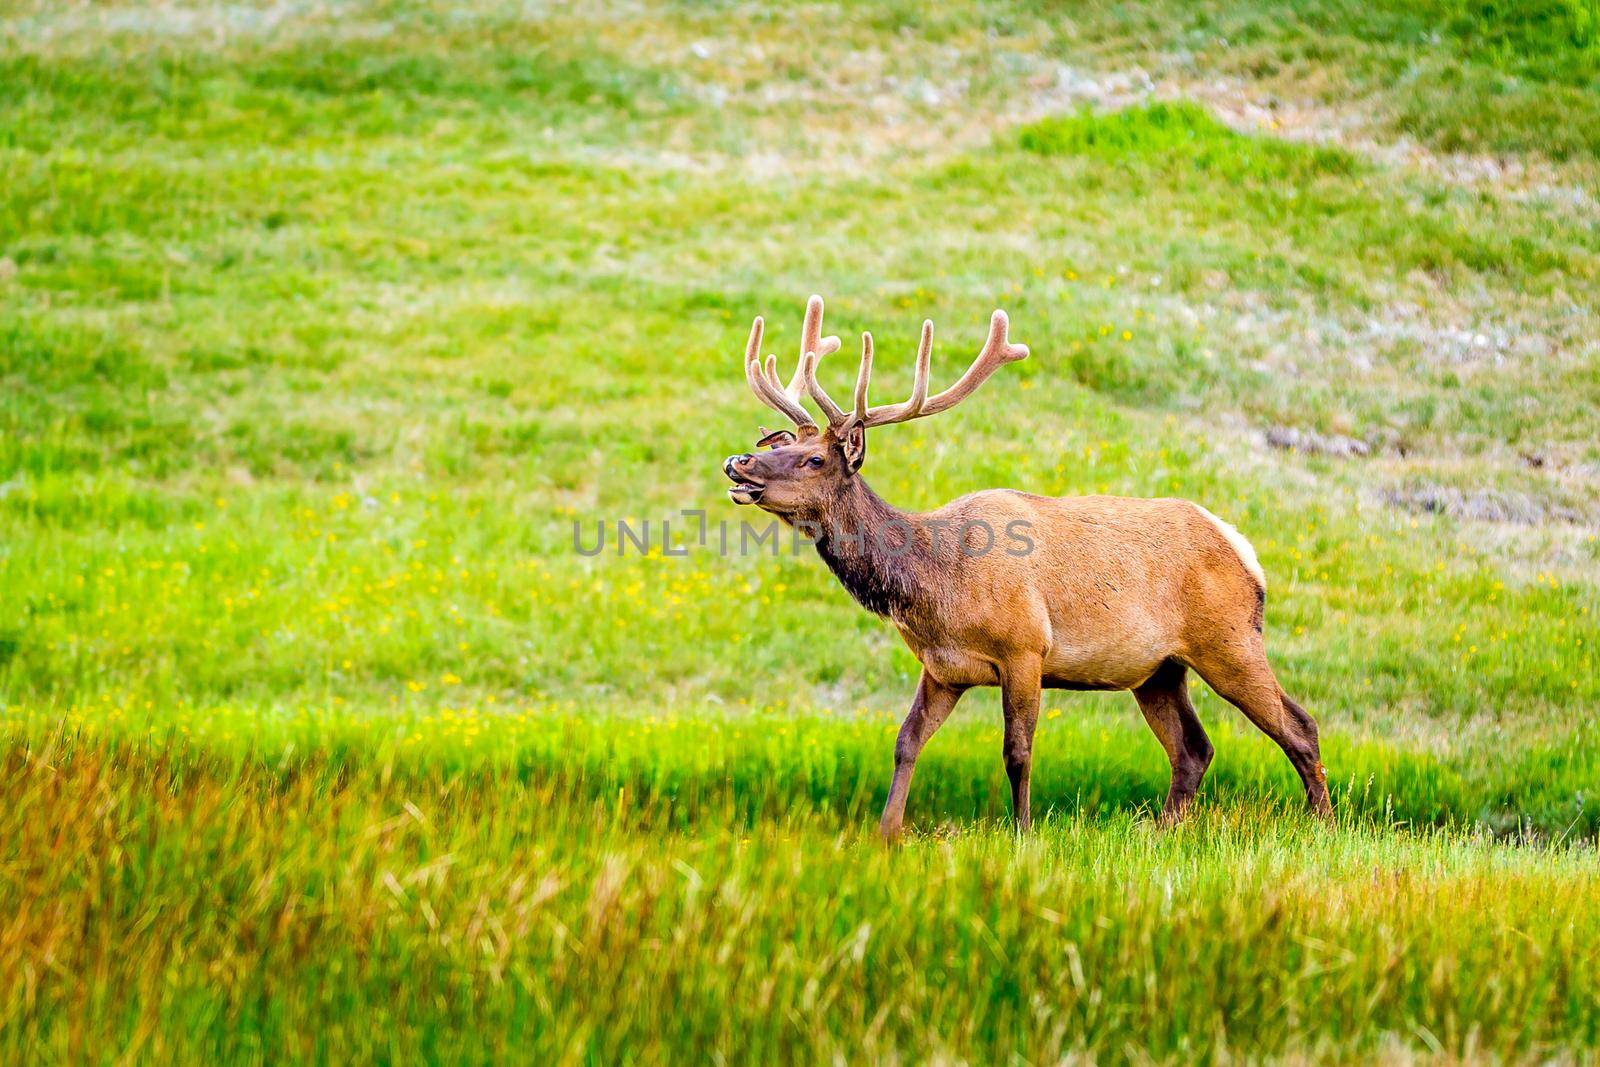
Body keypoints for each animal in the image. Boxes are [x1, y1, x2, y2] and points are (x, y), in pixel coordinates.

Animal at [726, 295, 1324, 838]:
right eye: (781, 446)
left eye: (814, 459)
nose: (739, 462)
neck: (936, 586)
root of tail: (1243, 551)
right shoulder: (942, 669)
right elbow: (905, 742)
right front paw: (886, 834)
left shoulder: (1025, 647)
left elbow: (1017, 751)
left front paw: (1022, 833)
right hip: (1158, 668)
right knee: (1194, 748)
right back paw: (1163, 831)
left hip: (1228, 639)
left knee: (1299, 725)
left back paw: (1322, 823)